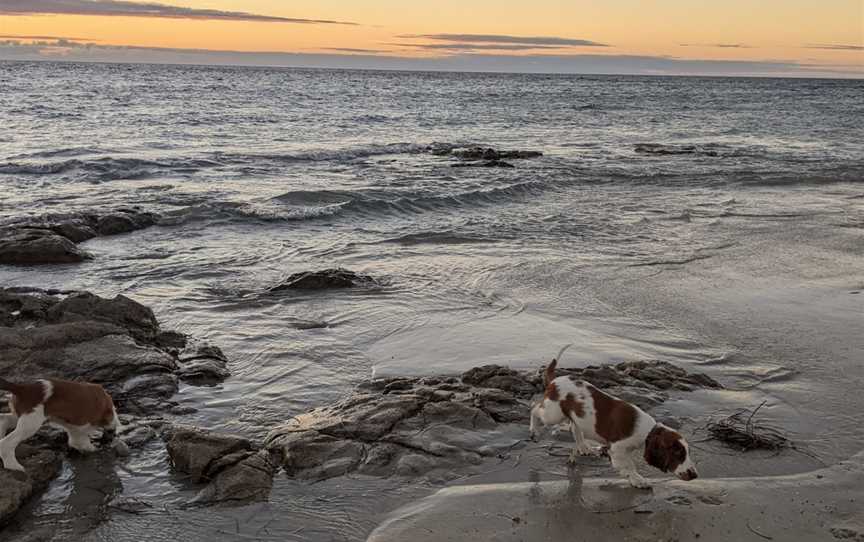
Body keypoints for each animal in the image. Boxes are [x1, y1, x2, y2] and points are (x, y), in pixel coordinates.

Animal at [528, 346, 700, 490]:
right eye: (678, 454)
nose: (695, 475)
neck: (648, 432)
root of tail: (555, 381)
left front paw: (634, 479)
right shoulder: (617, 449)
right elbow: (629, 465)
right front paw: (638, 480)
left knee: (574, 427)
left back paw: (583, 447)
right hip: (553, 413)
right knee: (535, 408)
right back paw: (534, 432)